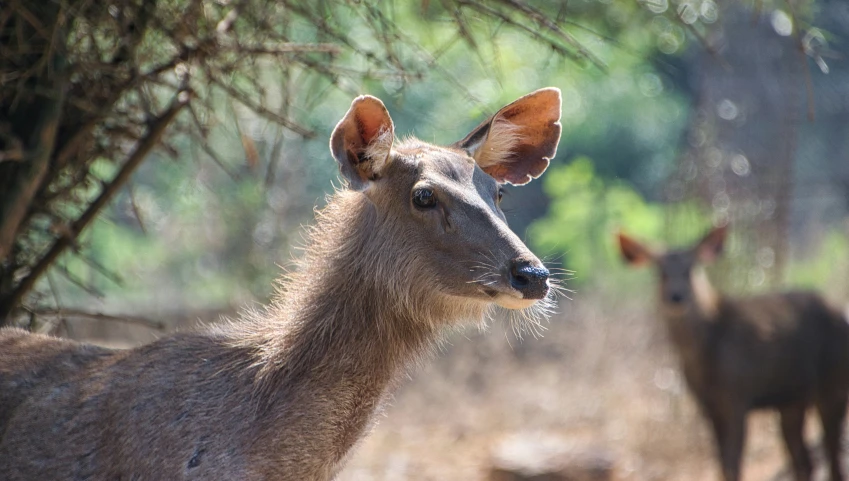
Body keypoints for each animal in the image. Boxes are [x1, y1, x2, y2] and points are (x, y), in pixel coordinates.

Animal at [616, 226, 848, 480]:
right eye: (661, 272)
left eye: (690, 269)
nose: (676, 296)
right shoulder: (708, 406)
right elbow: (723, 464)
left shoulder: (738, 397)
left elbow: (733, 463)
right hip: (793, 400)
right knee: (805, 462)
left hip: (832, 386)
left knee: (833, 458)